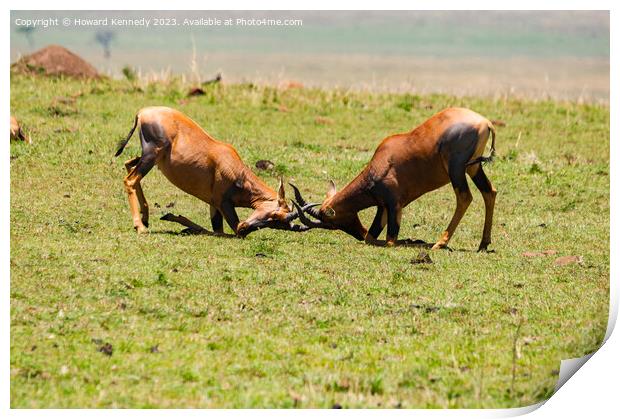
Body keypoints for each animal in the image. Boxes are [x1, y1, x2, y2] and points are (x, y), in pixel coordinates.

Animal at [114, 106, 312, 236]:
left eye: (280, 225)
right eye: (275, 215)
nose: (246, 229)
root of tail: (142, 112)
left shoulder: (213, 203)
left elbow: (217, 230)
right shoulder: (222, 202)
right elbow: (224, 231)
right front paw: (174, 219)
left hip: (151, 158)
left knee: (128, 164)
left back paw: (146, 218)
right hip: (151, 156)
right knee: (130, 179)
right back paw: (140, 226)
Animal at [290, 108, 498, 253]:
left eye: (332, 223)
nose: (359, 233)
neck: (382, 161)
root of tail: (485, 122)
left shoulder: (395, 206)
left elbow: (390, 241)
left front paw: (414, 242)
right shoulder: (383, 207)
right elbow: (372, 238)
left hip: (457, 170)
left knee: (464, 197)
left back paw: (440, 243)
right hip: (473, 168)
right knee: (490, 191)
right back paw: (483, 244)